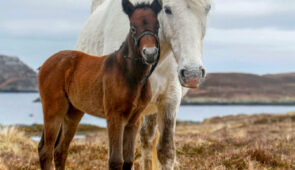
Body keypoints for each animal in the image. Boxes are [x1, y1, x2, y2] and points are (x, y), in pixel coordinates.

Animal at [37, 0, 163, 170]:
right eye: (133, 27)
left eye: (157, 25)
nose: (150, 53)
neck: (129, 74)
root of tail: (45, 64)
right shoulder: (114, 116)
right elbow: (116, 160)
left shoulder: (134, 120)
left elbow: (128, 159)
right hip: (54, 109)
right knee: (46, 150)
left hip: (73, 113)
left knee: (60, 151)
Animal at [75, 0, 212, 169]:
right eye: (167, 9)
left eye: (207, 9)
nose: (193, 74)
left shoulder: (169, 101)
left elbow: (166, 151)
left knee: (147, 138)